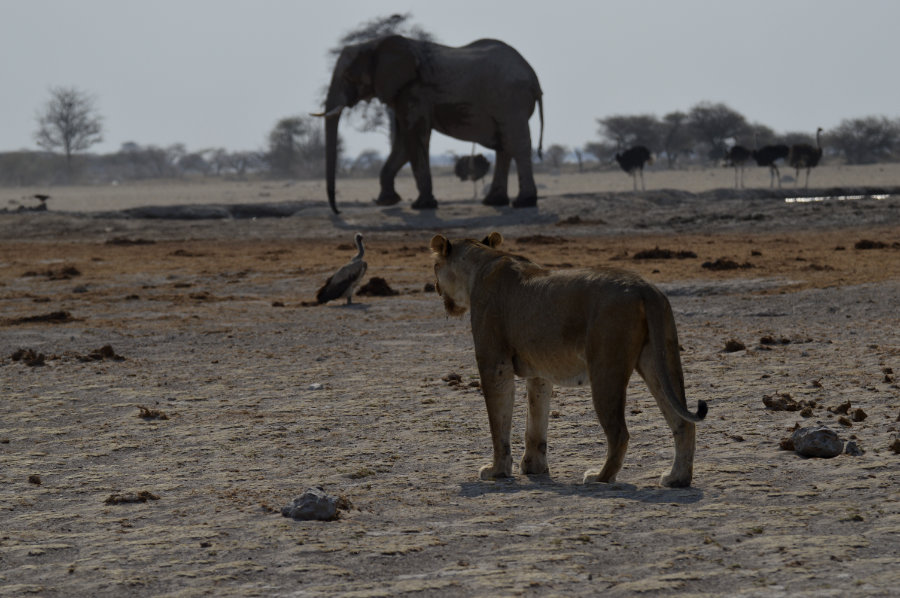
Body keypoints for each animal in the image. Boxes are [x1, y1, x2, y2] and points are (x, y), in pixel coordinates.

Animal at [312, 36, 544, 214]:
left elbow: (414, 137)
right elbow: (402, 144)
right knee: (504, 145)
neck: (375, 43)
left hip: (510, 99)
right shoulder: (402, 94)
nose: (338, 211)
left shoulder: (415, 91)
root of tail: (533, 77)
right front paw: (387, 201)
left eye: (348, 76)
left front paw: (421, 206)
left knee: (517, 142)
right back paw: (493, 202)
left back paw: (523, 203)